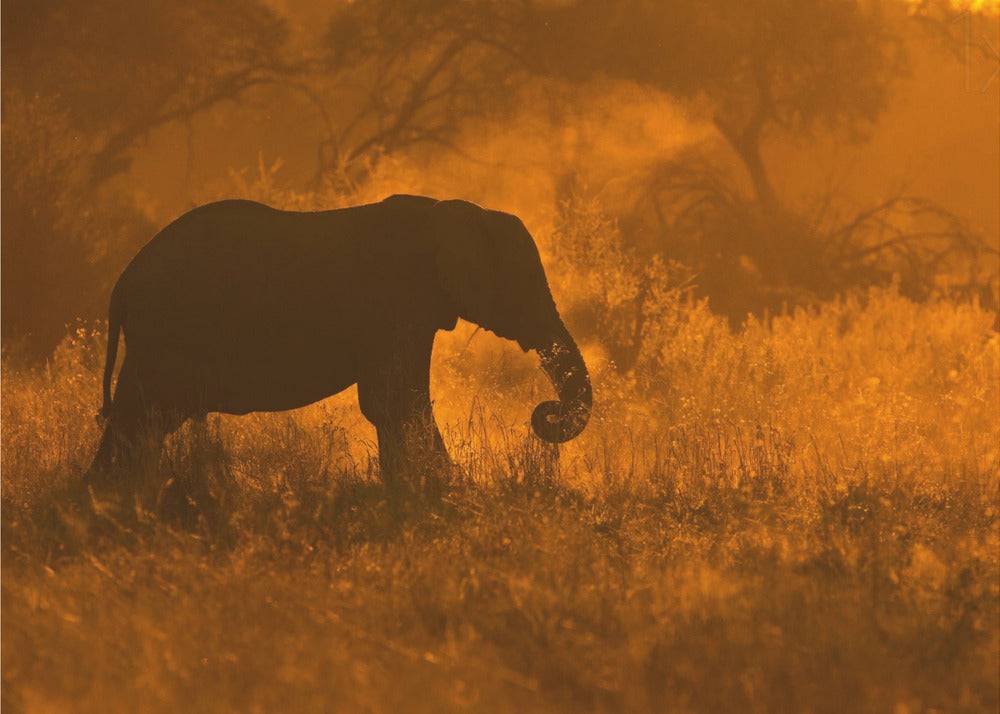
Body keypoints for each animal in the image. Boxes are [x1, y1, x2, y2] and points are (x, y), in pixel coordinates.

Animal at [86, 194, 592, 485]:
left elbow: (395, 401)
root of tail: (122, 285)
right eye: (523, 285)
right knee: (141, 417)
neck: (451, 210)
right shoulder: (396, 302)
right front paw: (446, 488)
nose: (545, 414)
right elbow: (395, 399)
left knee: (143, 422)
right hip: (164, 333)